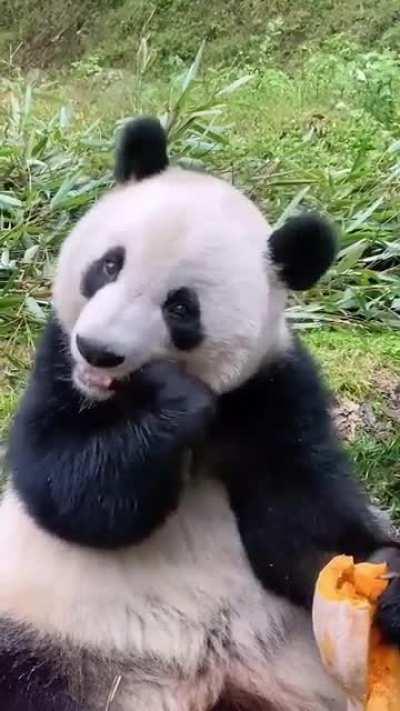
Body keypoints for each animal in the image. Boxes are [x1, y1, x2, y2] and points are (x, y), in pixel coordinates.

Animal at [0, 116, 399, 711]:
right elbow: (70, 493)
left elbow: (303, 533)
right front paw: (173, 403)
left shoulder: (274, 394)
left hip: (297, 657)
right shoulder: (56, 364)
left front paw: (390, 585)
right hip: (49, 631)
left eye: (181, 308)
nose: (98, 351)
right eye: (109, 265)